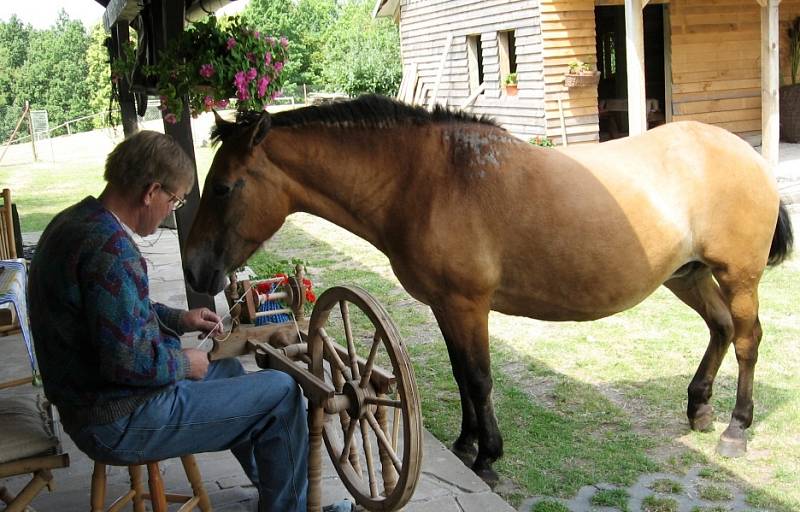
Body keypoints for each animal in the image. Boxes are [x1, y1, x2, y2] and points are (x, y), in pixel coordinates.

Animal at [183, 95, 792, 484]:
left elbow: (478, 378)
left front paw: (488, 458)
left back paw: (736, 428)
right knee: (719, 329)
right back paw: (699, 408)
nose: (194, 269)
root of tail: (746, 152)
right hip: (688, 274)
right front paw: (466, 444)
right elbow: (462, 376)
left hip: (737, 277)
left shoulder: (468, 306)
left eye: (225, 187)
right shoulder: (445, 308)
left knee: (746, 340)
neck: (425, 180)